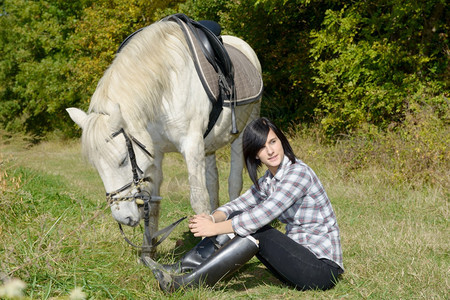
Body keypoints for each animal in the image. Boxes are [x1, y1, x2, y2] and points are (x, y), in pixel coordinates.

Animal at [67, 18, 262, 243]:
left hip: (244, 130)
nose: (123, 218)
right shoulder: (155, 152)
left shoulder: (192, 145)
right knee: (213, 182)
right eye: (96, 167)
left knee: (234, 183)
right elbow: (153, 204)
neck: (165, 89)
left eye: (123, 160)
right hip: (209, 146)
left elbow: (198, 199)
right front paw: (149, 249)